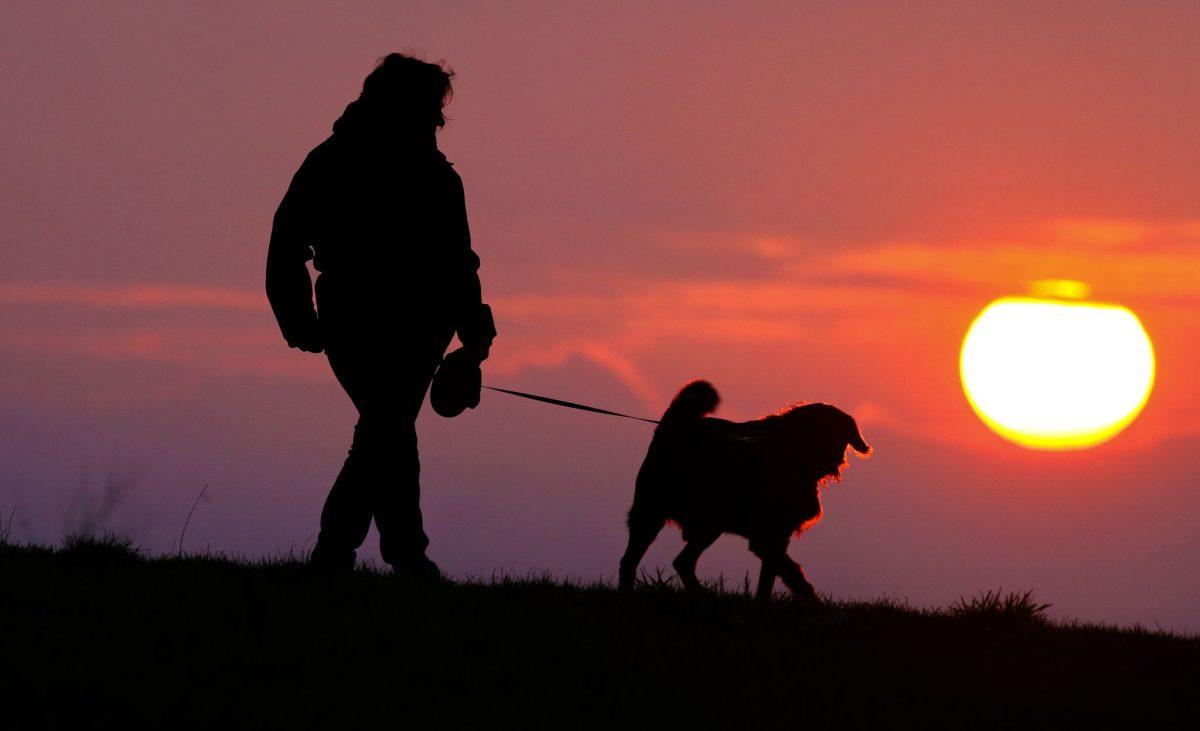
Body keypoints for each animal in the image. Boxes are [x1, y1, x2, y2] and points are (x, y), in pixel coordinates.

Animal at [624, 381, 868, 597]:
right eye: (826, 432)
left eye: (842, 435)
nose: (838, 459)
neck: (791, 451)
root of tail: (674, 426)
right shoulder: (767, 538)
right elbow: (792, 573)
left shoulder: (777, 538)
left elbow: (768, 582)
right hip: (652, 514)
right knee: (631, 562)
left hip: (706, 526)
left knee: (680, 562)